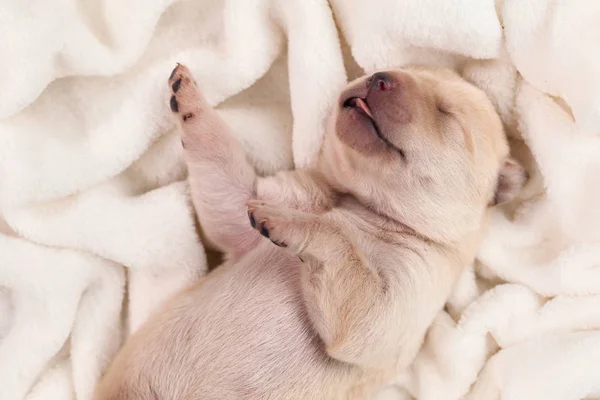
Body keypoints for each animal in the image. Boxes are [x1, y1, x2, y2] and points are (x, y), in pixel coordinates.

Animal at [92, 64, 524, 398]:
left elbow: (340, 251)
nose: (380, 78)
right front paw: (192, 101)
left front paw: (293, 224)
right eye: (384, 68)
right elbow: (225, 176)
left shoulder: (399, 301)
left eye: (447, 113)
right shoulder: (255, 204)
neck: (356, 203)